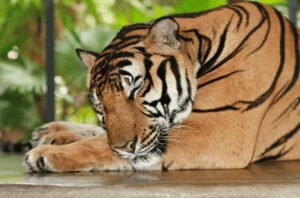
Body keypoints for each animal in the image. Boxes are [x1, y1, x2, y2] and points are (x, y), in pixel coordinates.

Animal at [22, 1, 298, 172]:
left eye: (136, 87)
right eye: (99, 103)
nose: (123, 147)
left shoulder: (216, 130)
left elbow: (99, 144)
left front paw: (46, 154)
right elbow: (101, 135)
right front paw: (53, 136)